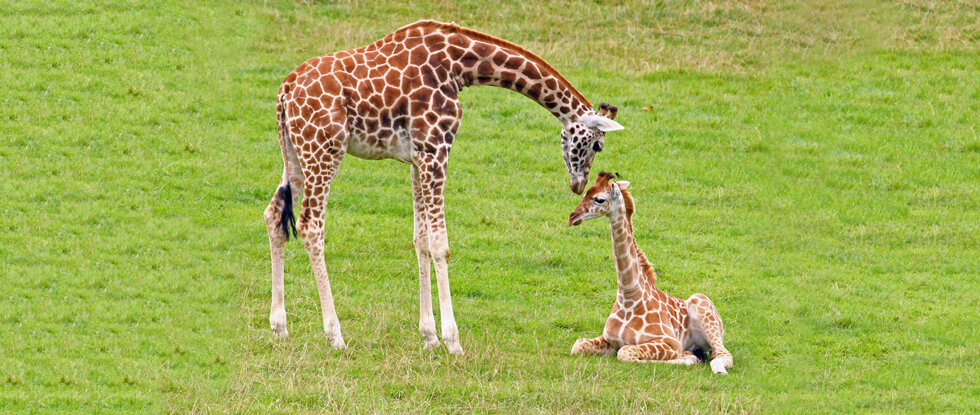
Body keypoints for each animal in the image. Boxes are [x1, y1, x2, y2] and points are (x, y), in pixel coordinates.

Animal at [263, 20, 625, 354]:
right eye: (597, 145)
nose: (578, 184)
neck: (458, 65)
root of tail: (284, 91)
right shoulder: (436, 150)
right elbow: (440, 244)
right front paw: (453, 341)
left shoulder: (417, 157)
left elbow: (420, 239)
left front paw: (429, 337)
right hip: (324, 150)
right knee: (311, 225)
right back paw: (335, 335)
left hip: (294, 153)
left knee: (274, 214)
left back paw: (280, 328)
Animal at [567, 172, 734, 374]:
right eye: (585, 192)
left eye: (599, 199)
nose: (572, 217)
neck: (629, 296)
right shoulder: (608, 339)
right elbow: (578, 345)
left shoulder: (670, 343)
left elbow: (625, 353)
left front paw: (687, 357)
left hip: (702, 306)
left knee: (724, 355)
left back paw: (715, 367)